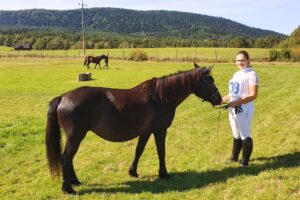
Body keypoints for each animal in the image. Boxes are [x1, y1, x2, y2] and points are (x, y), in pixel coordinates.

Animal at [45, 62, 223, 194]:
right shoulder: (160, 130)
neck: (162, 96)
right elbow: (161, 152)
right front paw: (164, 174)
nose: (219, 99)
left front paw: (133, 172)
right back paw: (68, 188)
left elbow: (139, 150)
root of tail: (63, 97)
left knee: (69, 158)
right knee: (66, 157)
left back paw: (75, 182)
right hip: (75, 136)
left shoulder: (146, 131)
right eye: (210, 80)